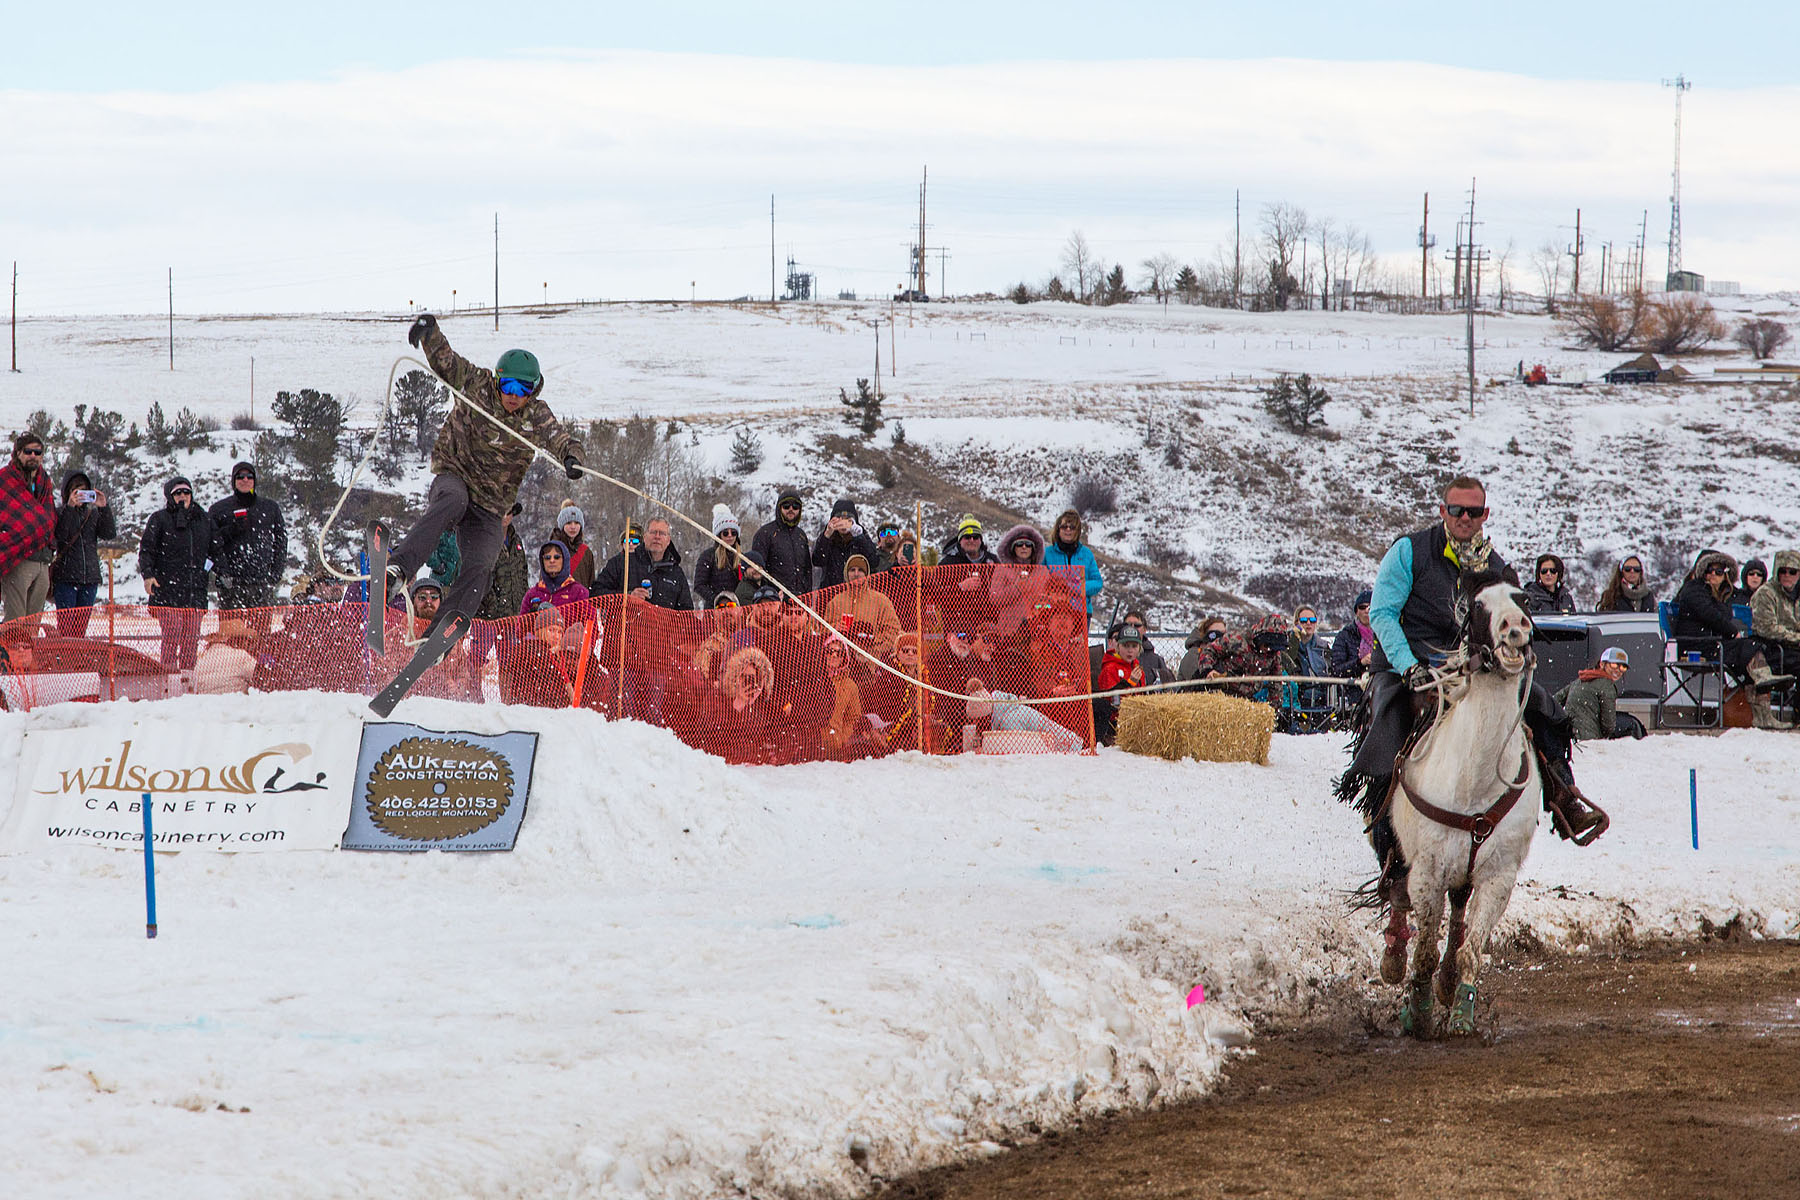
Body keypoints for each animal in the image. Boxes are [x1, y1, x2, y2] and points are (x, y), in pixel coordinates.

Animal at [1382, 575, 1540, 1036]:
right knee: (1396, 891)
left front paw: (1461, 1014)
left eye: (1524, 599)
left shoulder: (1498, 877)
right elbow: (1423, 953)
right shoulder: (1427, 872)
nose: (1515, 629)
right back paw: (1393, 962)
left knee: (1457, 917)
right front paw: (1416, 1015)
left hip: (1465, 875)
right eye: (1478, 606)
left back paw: (1449, 984)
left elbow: (1471, 948)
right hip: (1403, 854)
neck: (1476, 779)